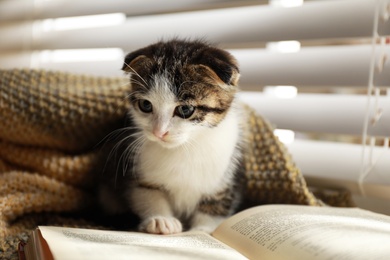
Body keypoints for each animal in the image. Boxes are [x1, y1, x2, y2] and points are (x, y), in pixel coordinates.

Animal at [100, 39, 245, 236]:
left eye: (185, 109)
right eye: (146, 105)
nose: (158, 132)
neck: (184, 148)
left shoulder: (225, 179)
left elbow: (215, 205)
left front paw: (202, 230)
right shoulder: (136, 170)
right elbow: (147, 193)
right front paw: (161, 219)